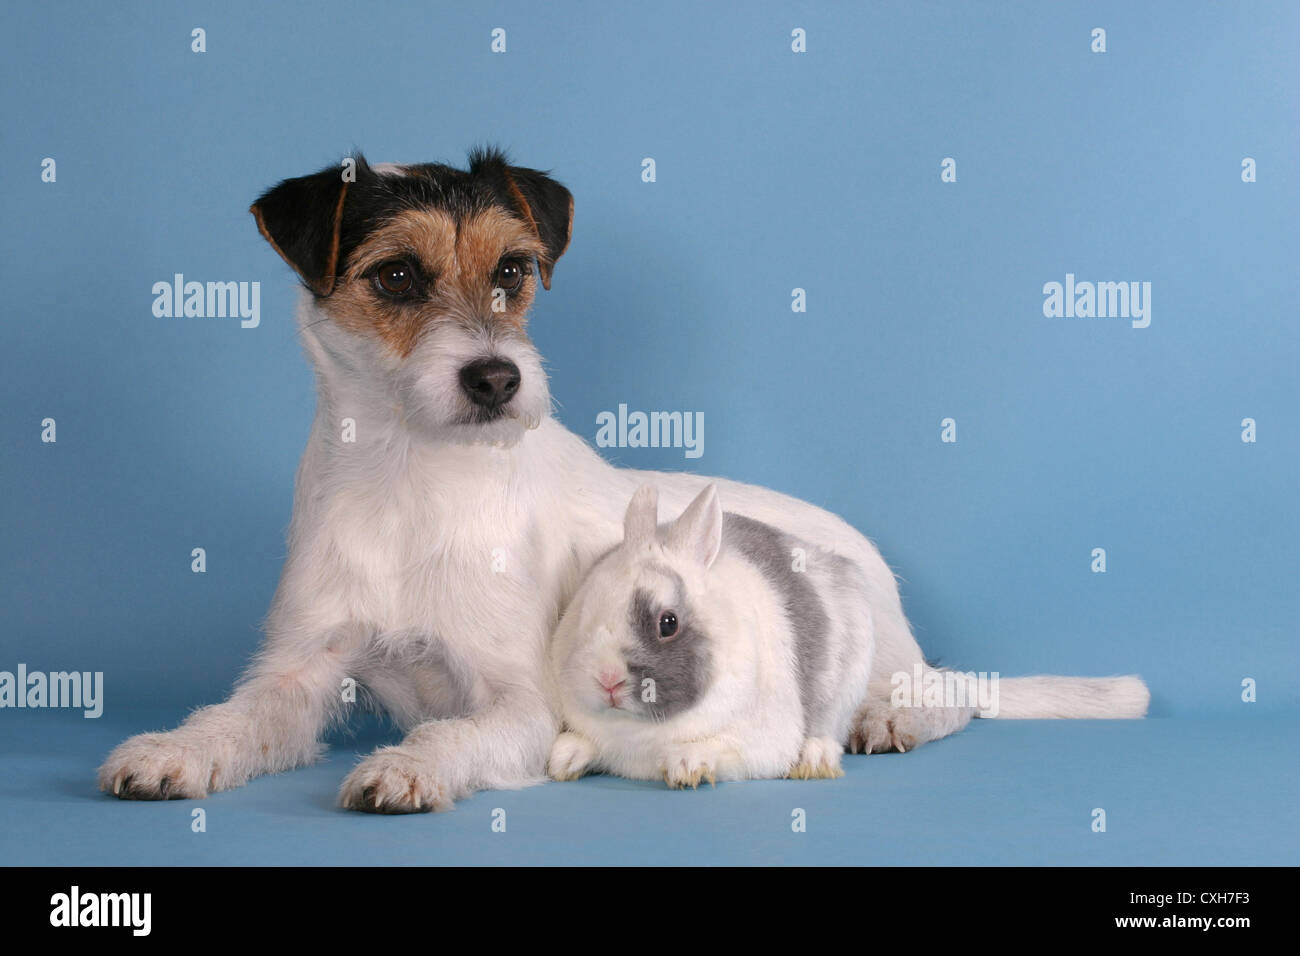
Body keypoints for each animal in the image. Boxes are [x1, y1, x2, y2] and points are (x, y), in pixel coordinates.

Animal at [547, 482, 875, 787]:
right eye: (584, 610)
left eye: (668, 623)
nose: (607, 680)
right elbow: (585, 744)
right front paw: (562, 761)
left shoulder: (756, 747)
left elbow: (715, 749)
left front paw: (686, 766)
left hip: (846, 691)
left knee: (829, 732)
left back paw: (814, 760)